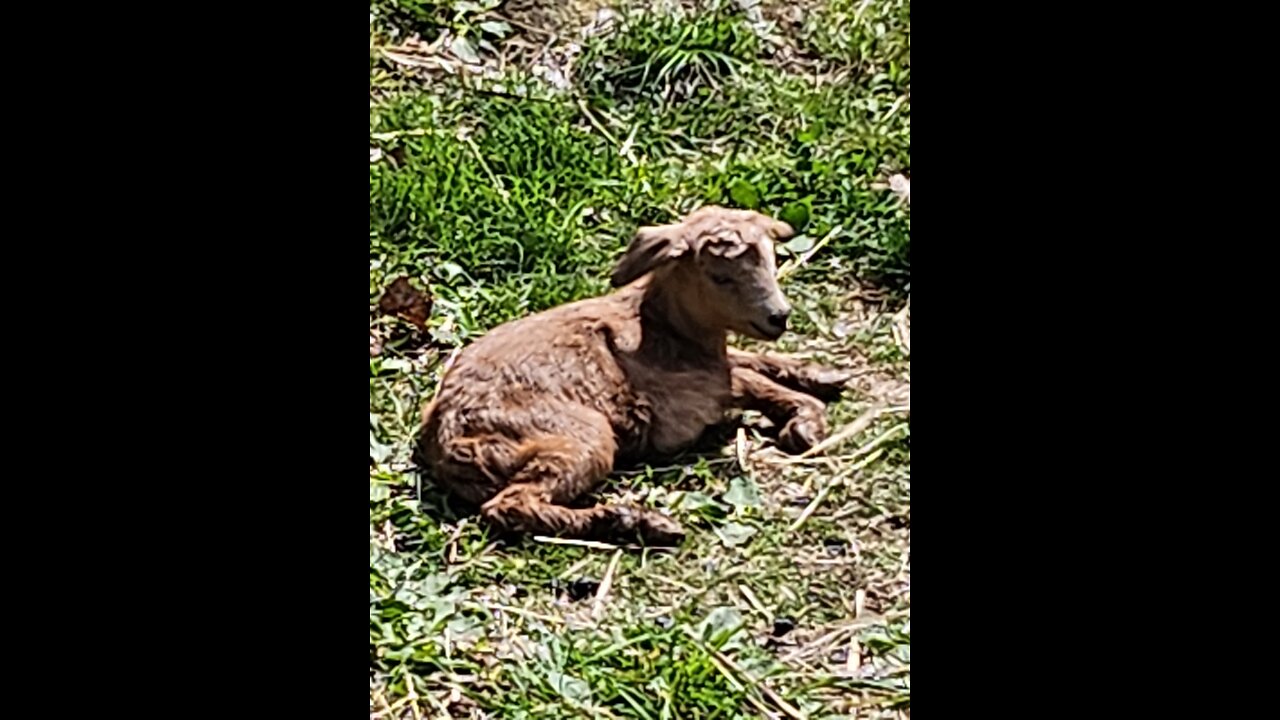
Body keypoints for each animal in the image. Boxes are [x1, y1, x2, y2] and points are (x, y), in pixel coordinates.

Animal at [417, 204, 849, 540]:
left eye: (774, 263)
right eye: (720, 277)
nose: (779, 317)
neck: (661, 327)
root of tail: (448, 442)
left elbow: (749, 361)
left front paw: (822, 375)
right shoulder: (687, 396)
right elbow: (748, 380)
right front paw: (807, 423)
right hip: (578, 434)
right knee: (510, 505)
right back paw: (638, 522)